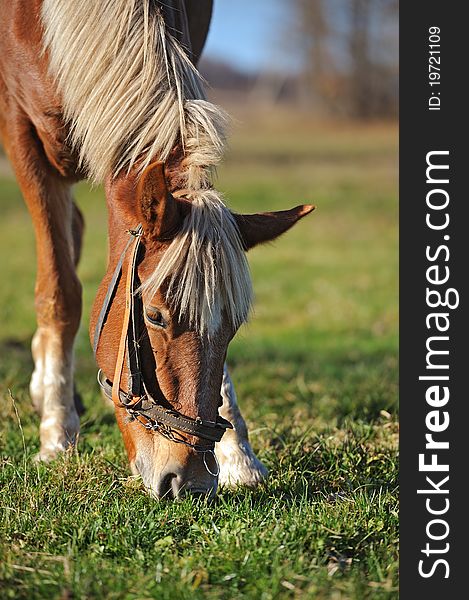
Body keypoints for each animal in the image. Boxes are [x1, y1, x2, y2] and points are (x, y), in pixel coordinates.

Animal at [0, 0, 314, 496]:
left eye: (235, 327)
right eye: (154, 317)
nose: (192, 480)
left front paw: (239, 456)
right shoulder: (21, 134)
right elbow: (60, 293)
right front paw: (56, 434)